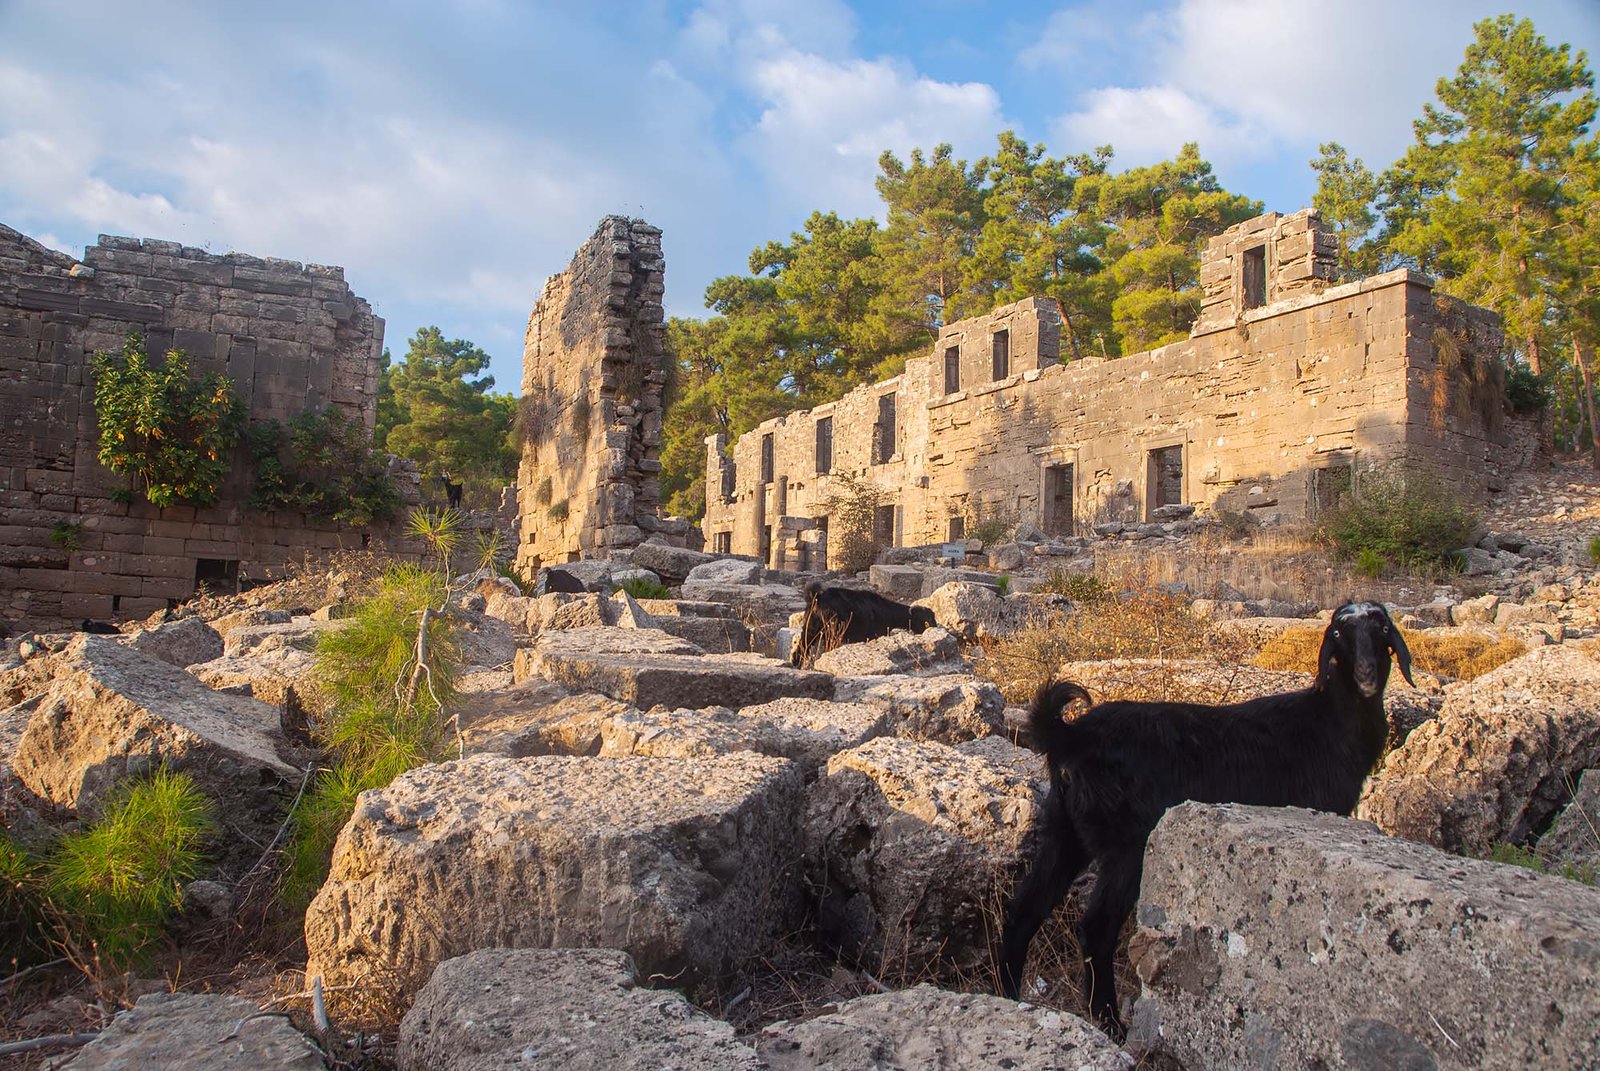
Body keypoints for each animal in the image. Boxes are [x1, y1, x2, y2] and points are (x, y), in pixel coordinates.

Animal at [791, 580, 937, 667]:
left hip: (810, 627)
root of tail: (817, 598)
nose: (935, 627)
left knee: (803, 645)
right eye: (927, 621)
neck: (886, 610)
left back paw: (796, 663)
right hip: (833, 631)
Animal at [997, 601, 1412, 1040]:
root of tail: (1070, 736)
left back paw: (1009, 996)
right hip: (1128, 845)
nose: (1366, 675)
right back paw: (1111, 1023)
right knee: (1096, 929)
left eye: (1382, 629)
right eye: (1337, 634)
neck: (1327, 721)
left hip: (1066, 833)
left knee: (1024, 910)